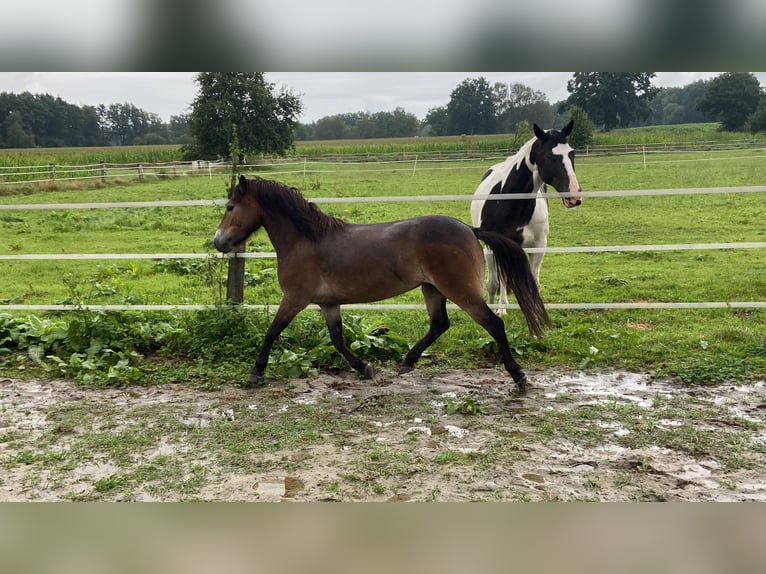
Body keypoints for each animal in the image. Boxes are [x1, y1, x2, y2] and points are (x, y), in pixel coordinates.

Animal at [216, 176, 552, 392]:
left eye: (231, 206)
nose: (219, 242)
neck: (305, 241)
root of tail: (471, 230)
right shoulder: (328, 303)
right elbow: (337, 339)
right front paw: (365, 368)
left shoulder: (294, 298)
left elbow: (272, 332)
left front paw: (256, 373)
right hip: (432, 289)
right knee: (439, 324)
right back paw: (407, 362)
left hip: (461, 291)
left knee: (493, 324)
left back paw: (519, 377)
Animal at [472, 120, 584, 316]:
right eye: (549, 156)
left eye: (572, 153)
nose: (574, 196)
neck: (510, 203)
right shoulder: (496, 248)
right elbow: (497, 283)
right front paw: (500, 310)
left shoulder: (539, 246)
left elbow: (533, 283)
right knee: (495, 282)